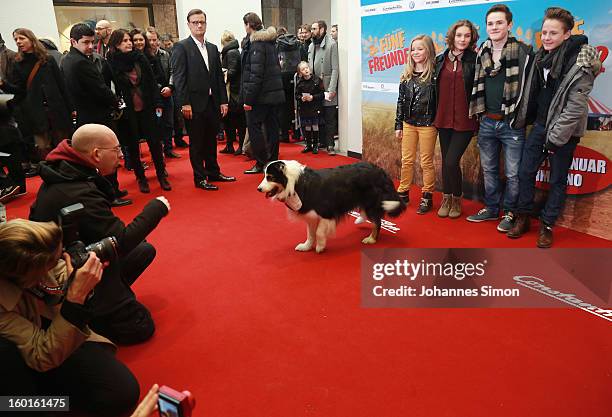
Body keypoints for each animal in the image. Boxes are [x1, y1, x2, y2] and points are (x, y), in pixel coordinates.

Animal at [258, 159, 406, 250]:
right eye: (265, 176)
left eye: (270, 177)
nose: (258, 189)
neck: (294, 183)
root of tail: (381, 171)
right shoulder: (310, 214)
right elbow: (310, 233)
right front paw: (306, 246)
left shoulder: (326, 210)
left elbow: (318, 232)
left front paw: (320, 246)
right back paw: (360, 219)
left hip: (371, 200)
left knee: (377, 221)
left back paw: (371, 239)